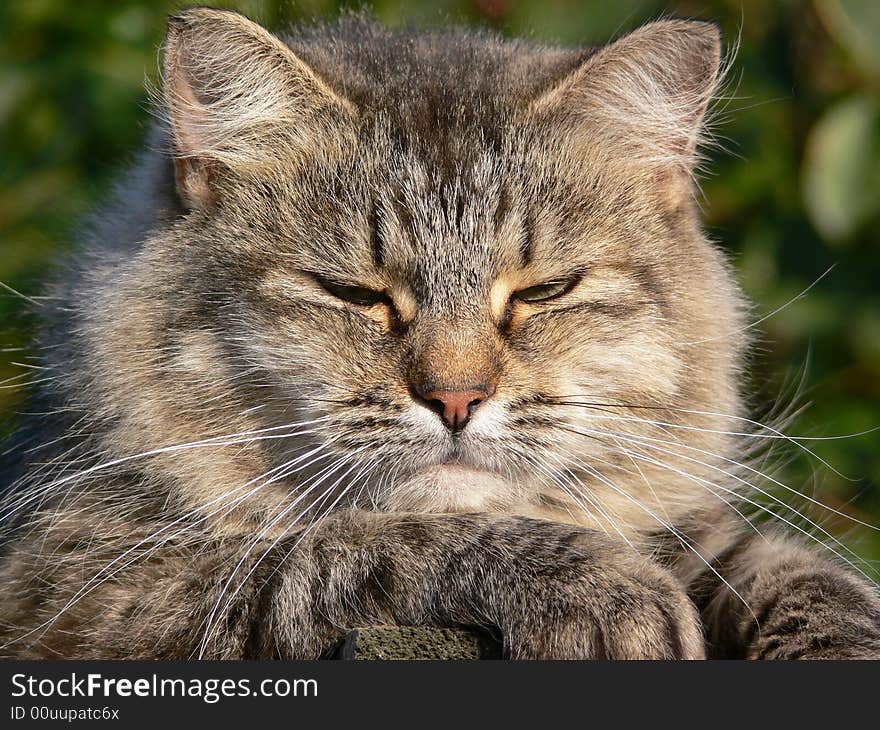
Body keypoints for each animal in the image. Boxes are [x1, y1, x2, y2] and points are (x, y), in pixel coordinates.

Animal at [1, 5, 880, 656]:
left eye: (544, 291)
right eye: (354, 294)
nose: (456, 400)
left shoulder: (694, 526)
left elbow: (800, 573)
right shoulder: (80, 590)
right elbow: (360, 544)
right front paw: (612, 590)